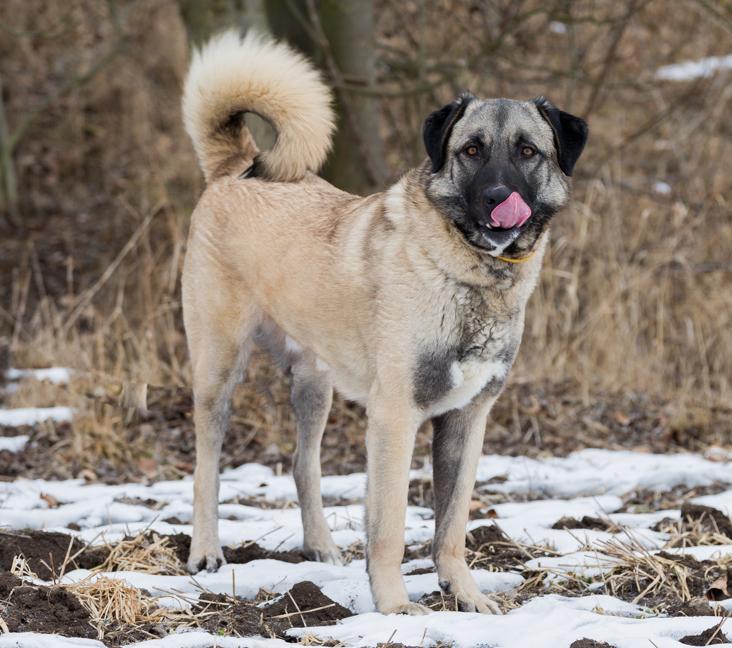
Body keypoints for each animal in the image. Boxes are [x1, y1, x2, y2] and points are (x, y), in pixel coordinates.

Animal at [182, 30, 588, 616]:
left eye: (527, 151)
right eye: (471, 150)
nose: (497, 198)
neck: (467, 272)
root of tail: (238, 167)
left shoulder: (467, 421)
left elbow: (451, 527)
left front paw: (465, 596)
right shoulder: (395, 419)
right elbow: (391, 528)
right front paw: (395, 607)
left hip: (314, 384)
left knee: (304, 465)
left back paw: (321, 547)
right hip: (218, 370)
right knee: (206, 466)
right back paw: (206, 552)